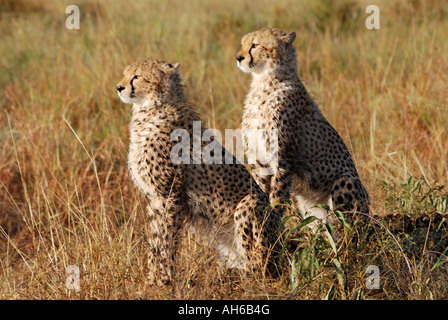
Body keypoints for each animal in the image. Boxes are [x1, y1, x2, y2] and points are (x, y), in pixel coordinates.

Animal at [117, 57, 282, 284]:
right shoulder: (154, 200)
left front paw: (165, 280)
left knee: (259, 269)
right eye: (125, 74)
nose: (119, 87)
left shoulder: (171, 196)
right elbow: (155, 242)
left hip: (250, 204)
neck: (150, 110)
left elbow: (167, 240)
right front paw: (151, 280)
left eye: (137, 76)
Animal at [236, 27, 370, 224]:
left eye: (255, 45)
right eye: (243, 44)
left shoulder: (282, 160)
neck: (265, 82)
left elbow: (276, 197)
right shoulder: (258, 161)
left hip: (347, 182)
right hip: (308, 210)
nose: (238, 57)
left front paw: (273, 221)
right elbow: (261, 191)